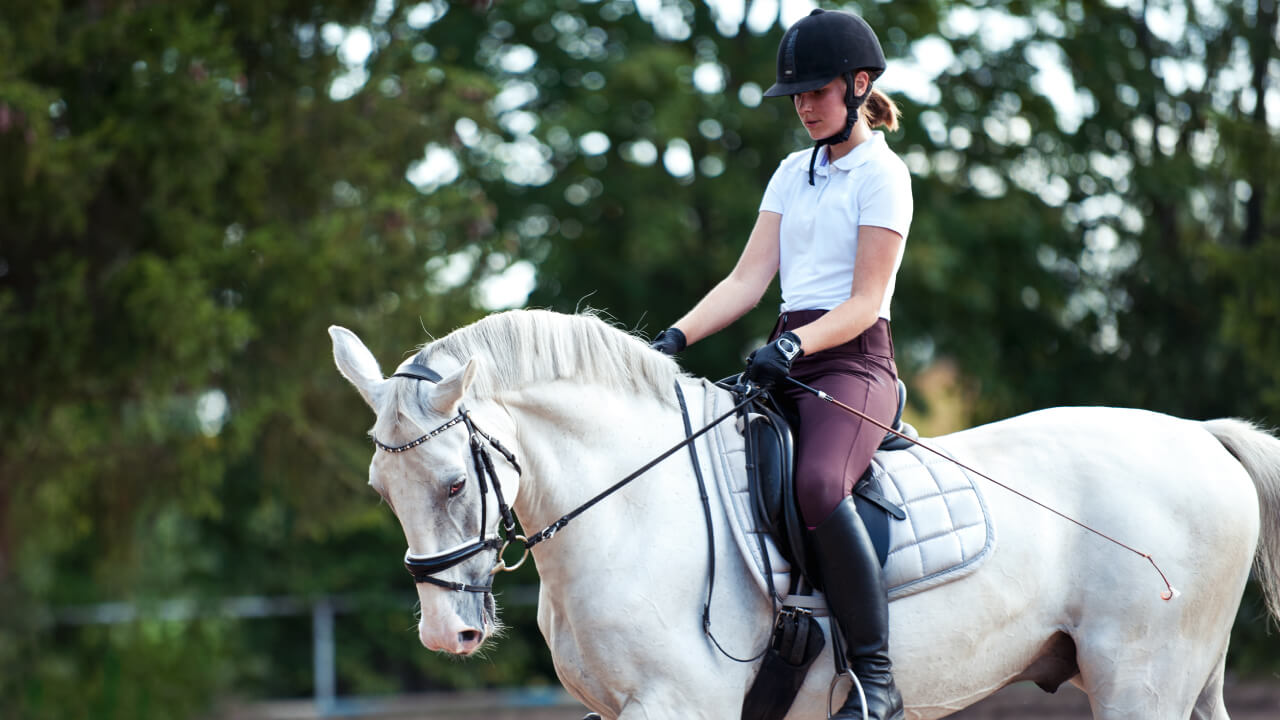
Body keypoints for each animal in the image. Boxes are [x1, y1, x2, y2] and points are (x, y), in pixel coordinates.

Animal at [329, 309, 1280, 719]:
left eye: (454, 485)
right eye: (380, 491)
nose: (446, 634)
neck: (630, 509)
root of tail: (1201, 437)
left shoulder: (681, 707)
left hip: (1140, 683)